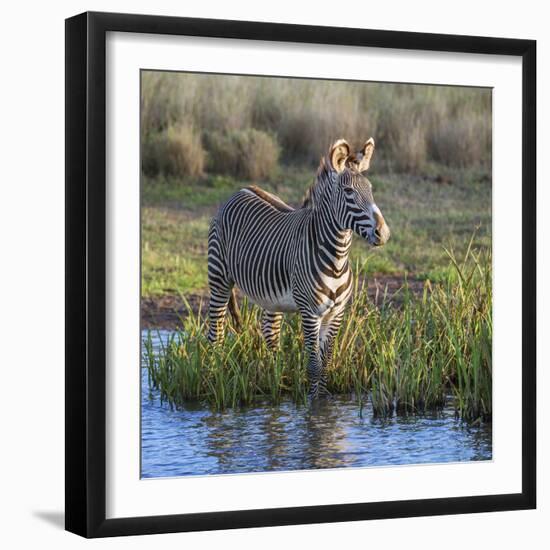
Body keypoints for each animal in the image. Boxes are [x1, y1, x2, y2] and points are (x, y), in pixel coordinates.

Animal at [207, 137, 392, 396]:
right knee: (216, 333)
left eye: (371, 190)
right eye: (349, 192)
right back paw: (215, 377)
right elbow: (314, 365)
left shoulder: (336, 313)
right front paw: (314, 402)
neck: (337, 259)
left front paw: (323, 400)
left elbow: (326, 363)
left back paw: (274, 378)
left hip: (271, 295)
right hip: (219, 278)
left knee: (270, 332)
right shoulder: (310, 312)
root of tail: (241, 189)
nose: (383, 233)